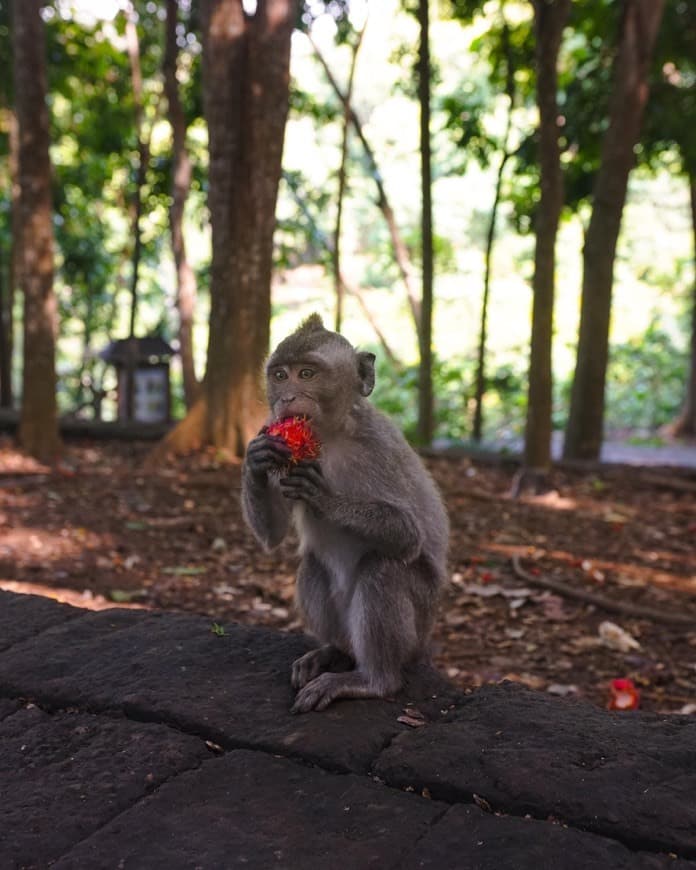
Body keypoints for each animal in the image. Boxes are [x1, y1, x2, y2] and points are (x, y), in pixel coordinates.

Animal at [242, 316, 448, 712]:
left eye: (306, 373)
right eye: (280, 375)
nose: (286, 398)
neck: (330, 436)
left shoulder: (379, 447)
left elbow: (409, 535)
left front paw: (324, 498)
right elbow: (273, 534)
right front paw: (255, 459)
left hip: (418, 628)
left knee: (384, 569)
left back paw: (373, 680)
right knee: (312, 566)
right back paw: (332, 652)